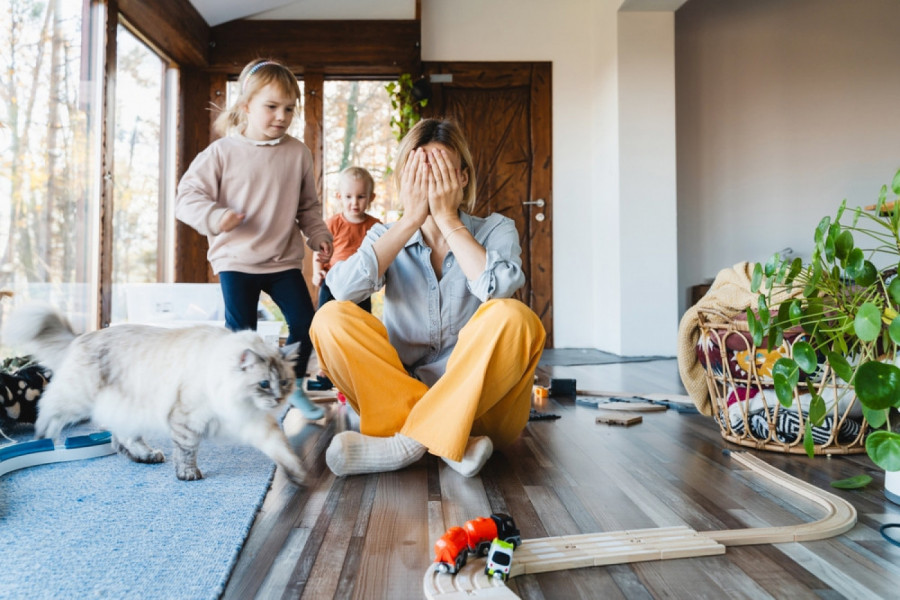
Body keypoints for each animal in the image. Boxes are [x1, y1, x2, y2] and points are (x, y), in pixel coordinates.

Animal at [2, 304, 310, 488]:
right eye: (263, 384)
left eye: (284, 382)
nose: (278, 401)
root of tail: (83, 336)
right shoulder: (187, 420)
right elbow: (187, 451)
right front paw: (188, 475)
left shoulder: (255, 422)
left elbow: (281, 449)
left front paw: (300, 476)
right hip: (77, 399)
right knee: (48, 411)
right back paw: (45, 442)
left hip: (129, 410)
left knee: (120, 440)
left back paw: (146, 456)